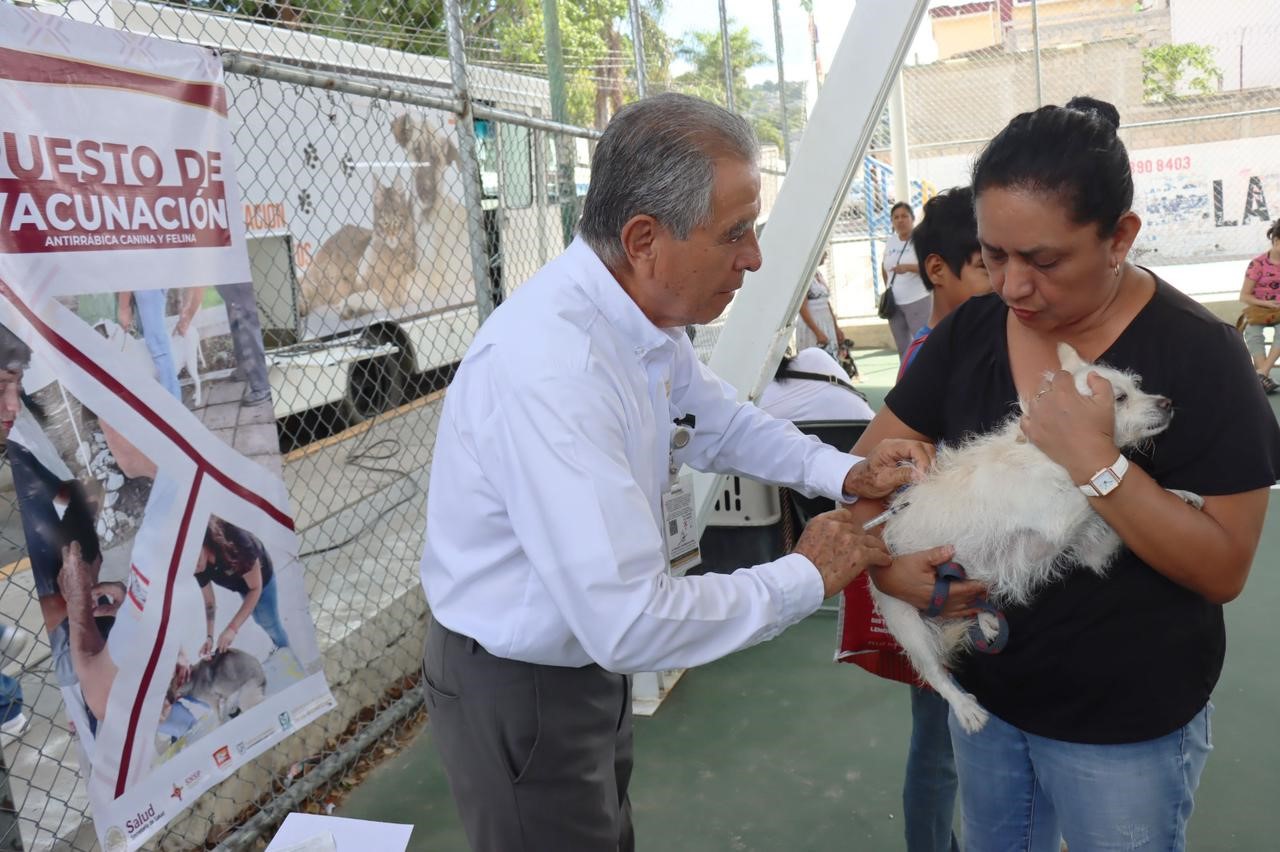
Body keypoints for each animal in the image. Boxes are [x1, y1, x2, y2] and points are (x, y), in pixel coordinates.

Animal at [875, 342, 1172, 731]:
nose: (1167, 402)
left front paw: (1183, 497)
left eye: (1138, 387)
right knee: (935, 673)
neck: (1047, 456)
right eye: (1119, 398)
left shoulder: (1093, 550)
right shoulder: (1061, 518)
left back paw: (985, 618)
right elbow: (1094, 490)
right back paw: (966, 707)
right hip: (907, 622)